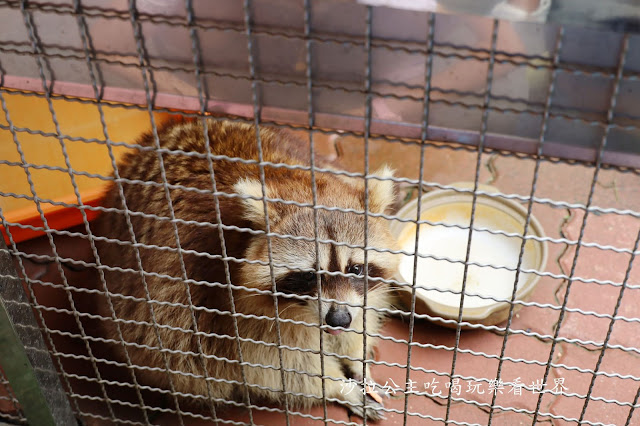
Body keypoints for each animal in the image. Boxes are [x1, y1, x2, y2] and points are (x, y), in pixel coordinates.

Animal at [92, 118, 398, 418]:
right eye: (310, 275)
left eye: (355, 269)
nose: (338, 319)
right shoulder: (221, 302)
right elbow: (274, 365)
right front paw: (339, 386)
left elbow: (361, 317)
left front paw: (358, 360)